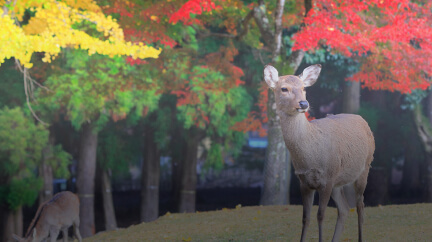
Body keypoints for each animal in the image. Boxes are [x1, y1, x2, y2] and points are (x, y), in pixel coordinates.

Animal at [264, 65, 374, 242]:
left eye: (304, 88)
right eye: (284, 88)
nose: (303, 103)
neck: (311, 156)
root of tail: (362, 119)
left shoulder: (327, 178)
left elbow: (320, 216)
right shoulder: (304, 182)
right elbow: (305, 218)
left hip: (365, 167)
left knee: (360, 206)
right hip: (338, 181)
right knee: (344, 209)